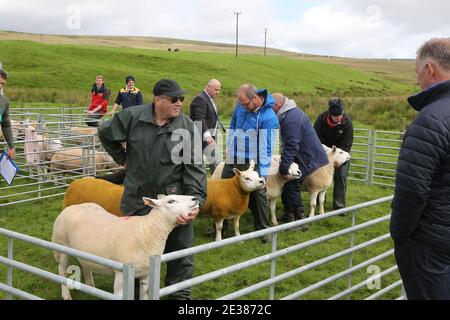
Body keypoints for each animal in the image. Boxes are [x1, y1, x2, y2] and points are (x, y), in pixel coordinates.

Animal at [51, 194, 200, 302]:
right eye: (171, 201)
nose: (195, 198)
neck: (147, 230)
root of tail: (72, 207)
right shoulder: (121, 273)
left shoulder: (146, 274)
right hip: (61, 246)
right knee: (61, 270)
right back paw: (66, 295)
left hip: (85, 250)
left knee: (86, 265)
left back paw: (91, 287)